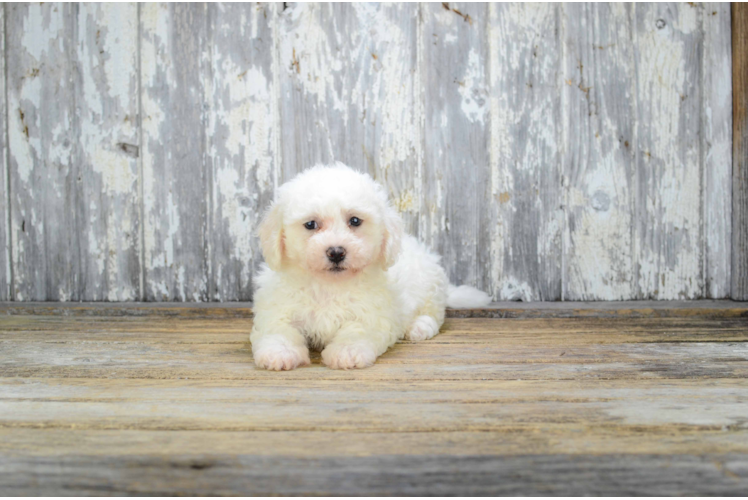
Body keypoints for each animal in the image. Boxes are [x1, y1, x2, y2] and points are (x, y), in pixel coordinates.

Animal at [253, 162, 490, 370]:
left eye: (355, 221)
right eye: (310, 224)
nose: (336, 252)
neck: (329, 284)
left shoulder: (372, 314)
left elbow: (357, 330)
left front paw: (346, 352)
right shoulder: (278, 307)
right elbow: (279, 329)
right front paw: (280, 353)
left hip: (429, 283)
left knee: (433, 313)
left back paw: (419, 327)